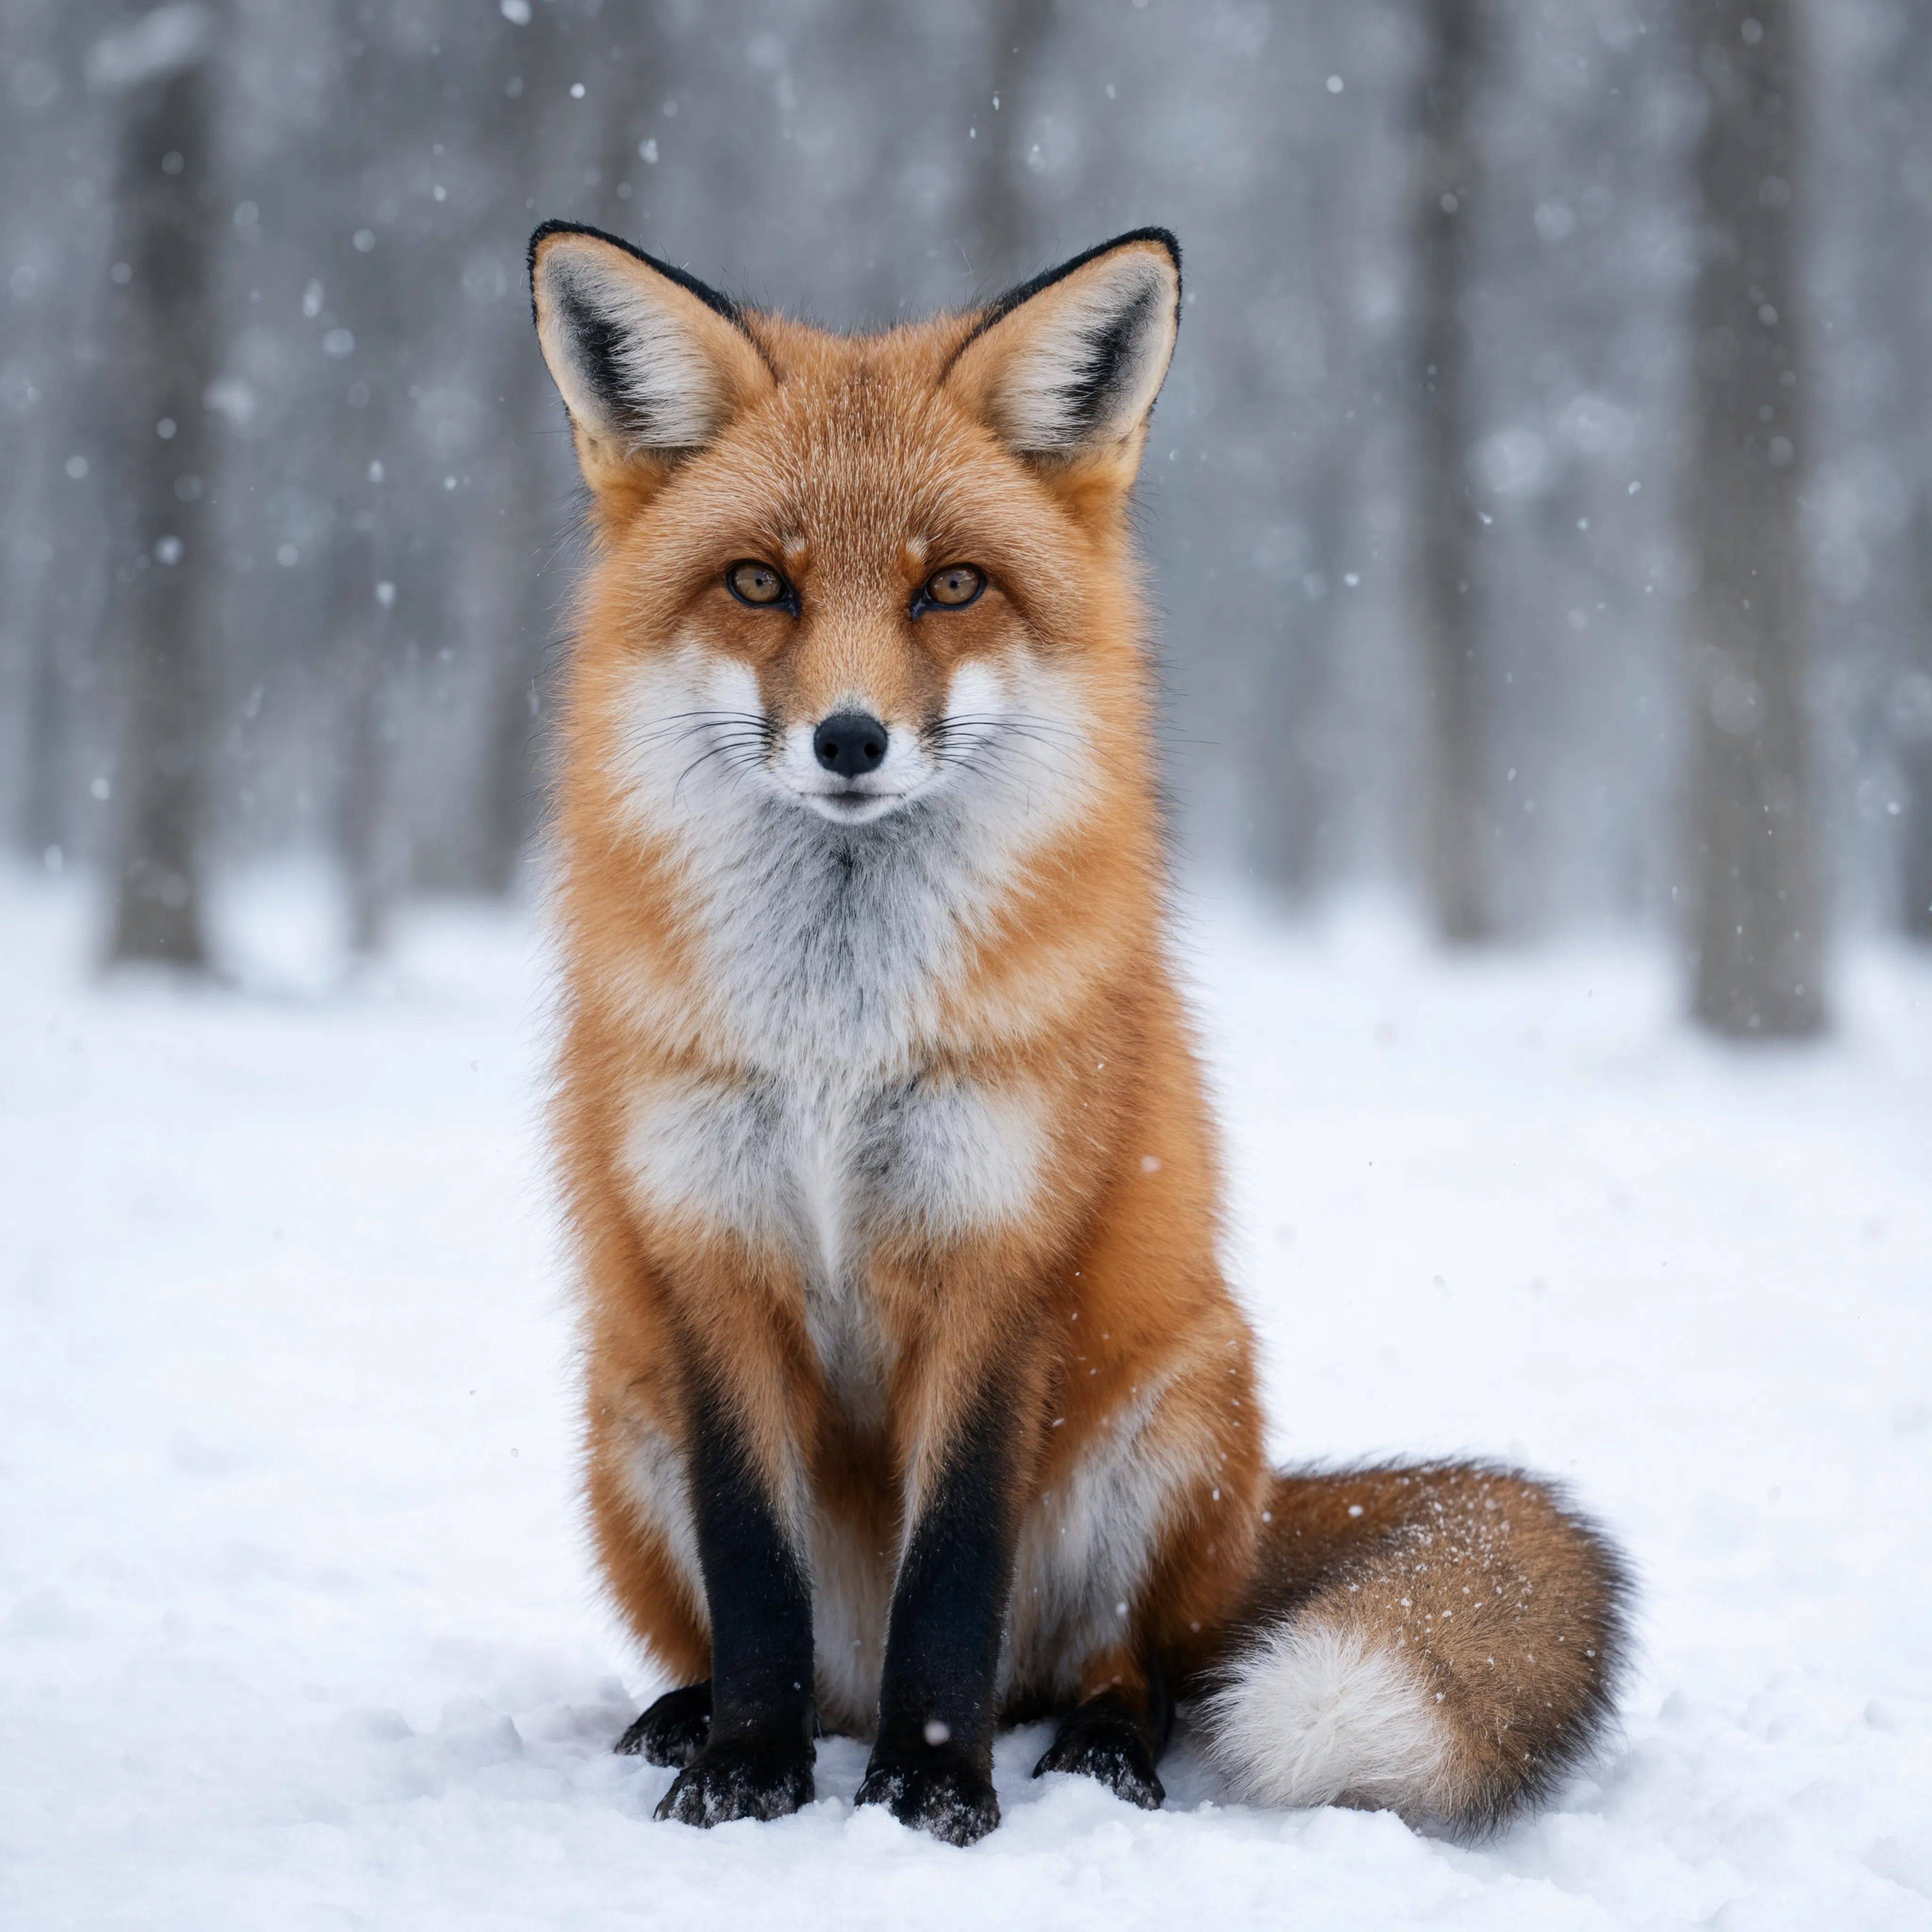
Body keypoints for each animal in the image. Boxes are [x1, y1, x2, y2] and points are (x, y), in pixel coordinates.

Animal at [526, 219, 1630, 1847]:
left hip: (1171, 1418)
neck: (838, 1040)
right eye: (759, 583)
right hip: (624, 1415)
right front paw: (745, 1775)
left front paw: (930, 1795)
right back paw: (692, 1719)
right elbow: (756, 1584)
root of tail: (1250, 1533)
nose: (850, 739)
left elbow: (953, 1582)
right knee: (785, 1652)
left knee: (1125, 1666)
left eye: (952, 587)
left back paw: (1096, 1749)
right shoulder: (708, 1256)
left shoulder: (1000, 1253)